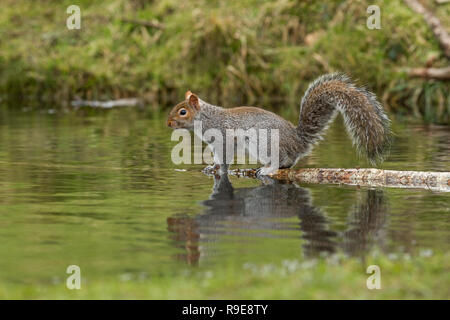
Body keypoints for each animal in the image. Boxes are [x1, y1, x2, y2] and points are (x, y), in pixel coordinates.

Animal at [167, 73, 392, 175]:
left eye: (182, 111)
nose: (168, 123)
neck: (206, 118)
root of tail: (298, 141)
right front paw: (211, 167)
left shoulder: (224, 138)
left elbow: (225, 157)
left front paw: (219, 170)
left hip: (263, 142)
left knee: (281, 160)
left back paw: (267, 169)